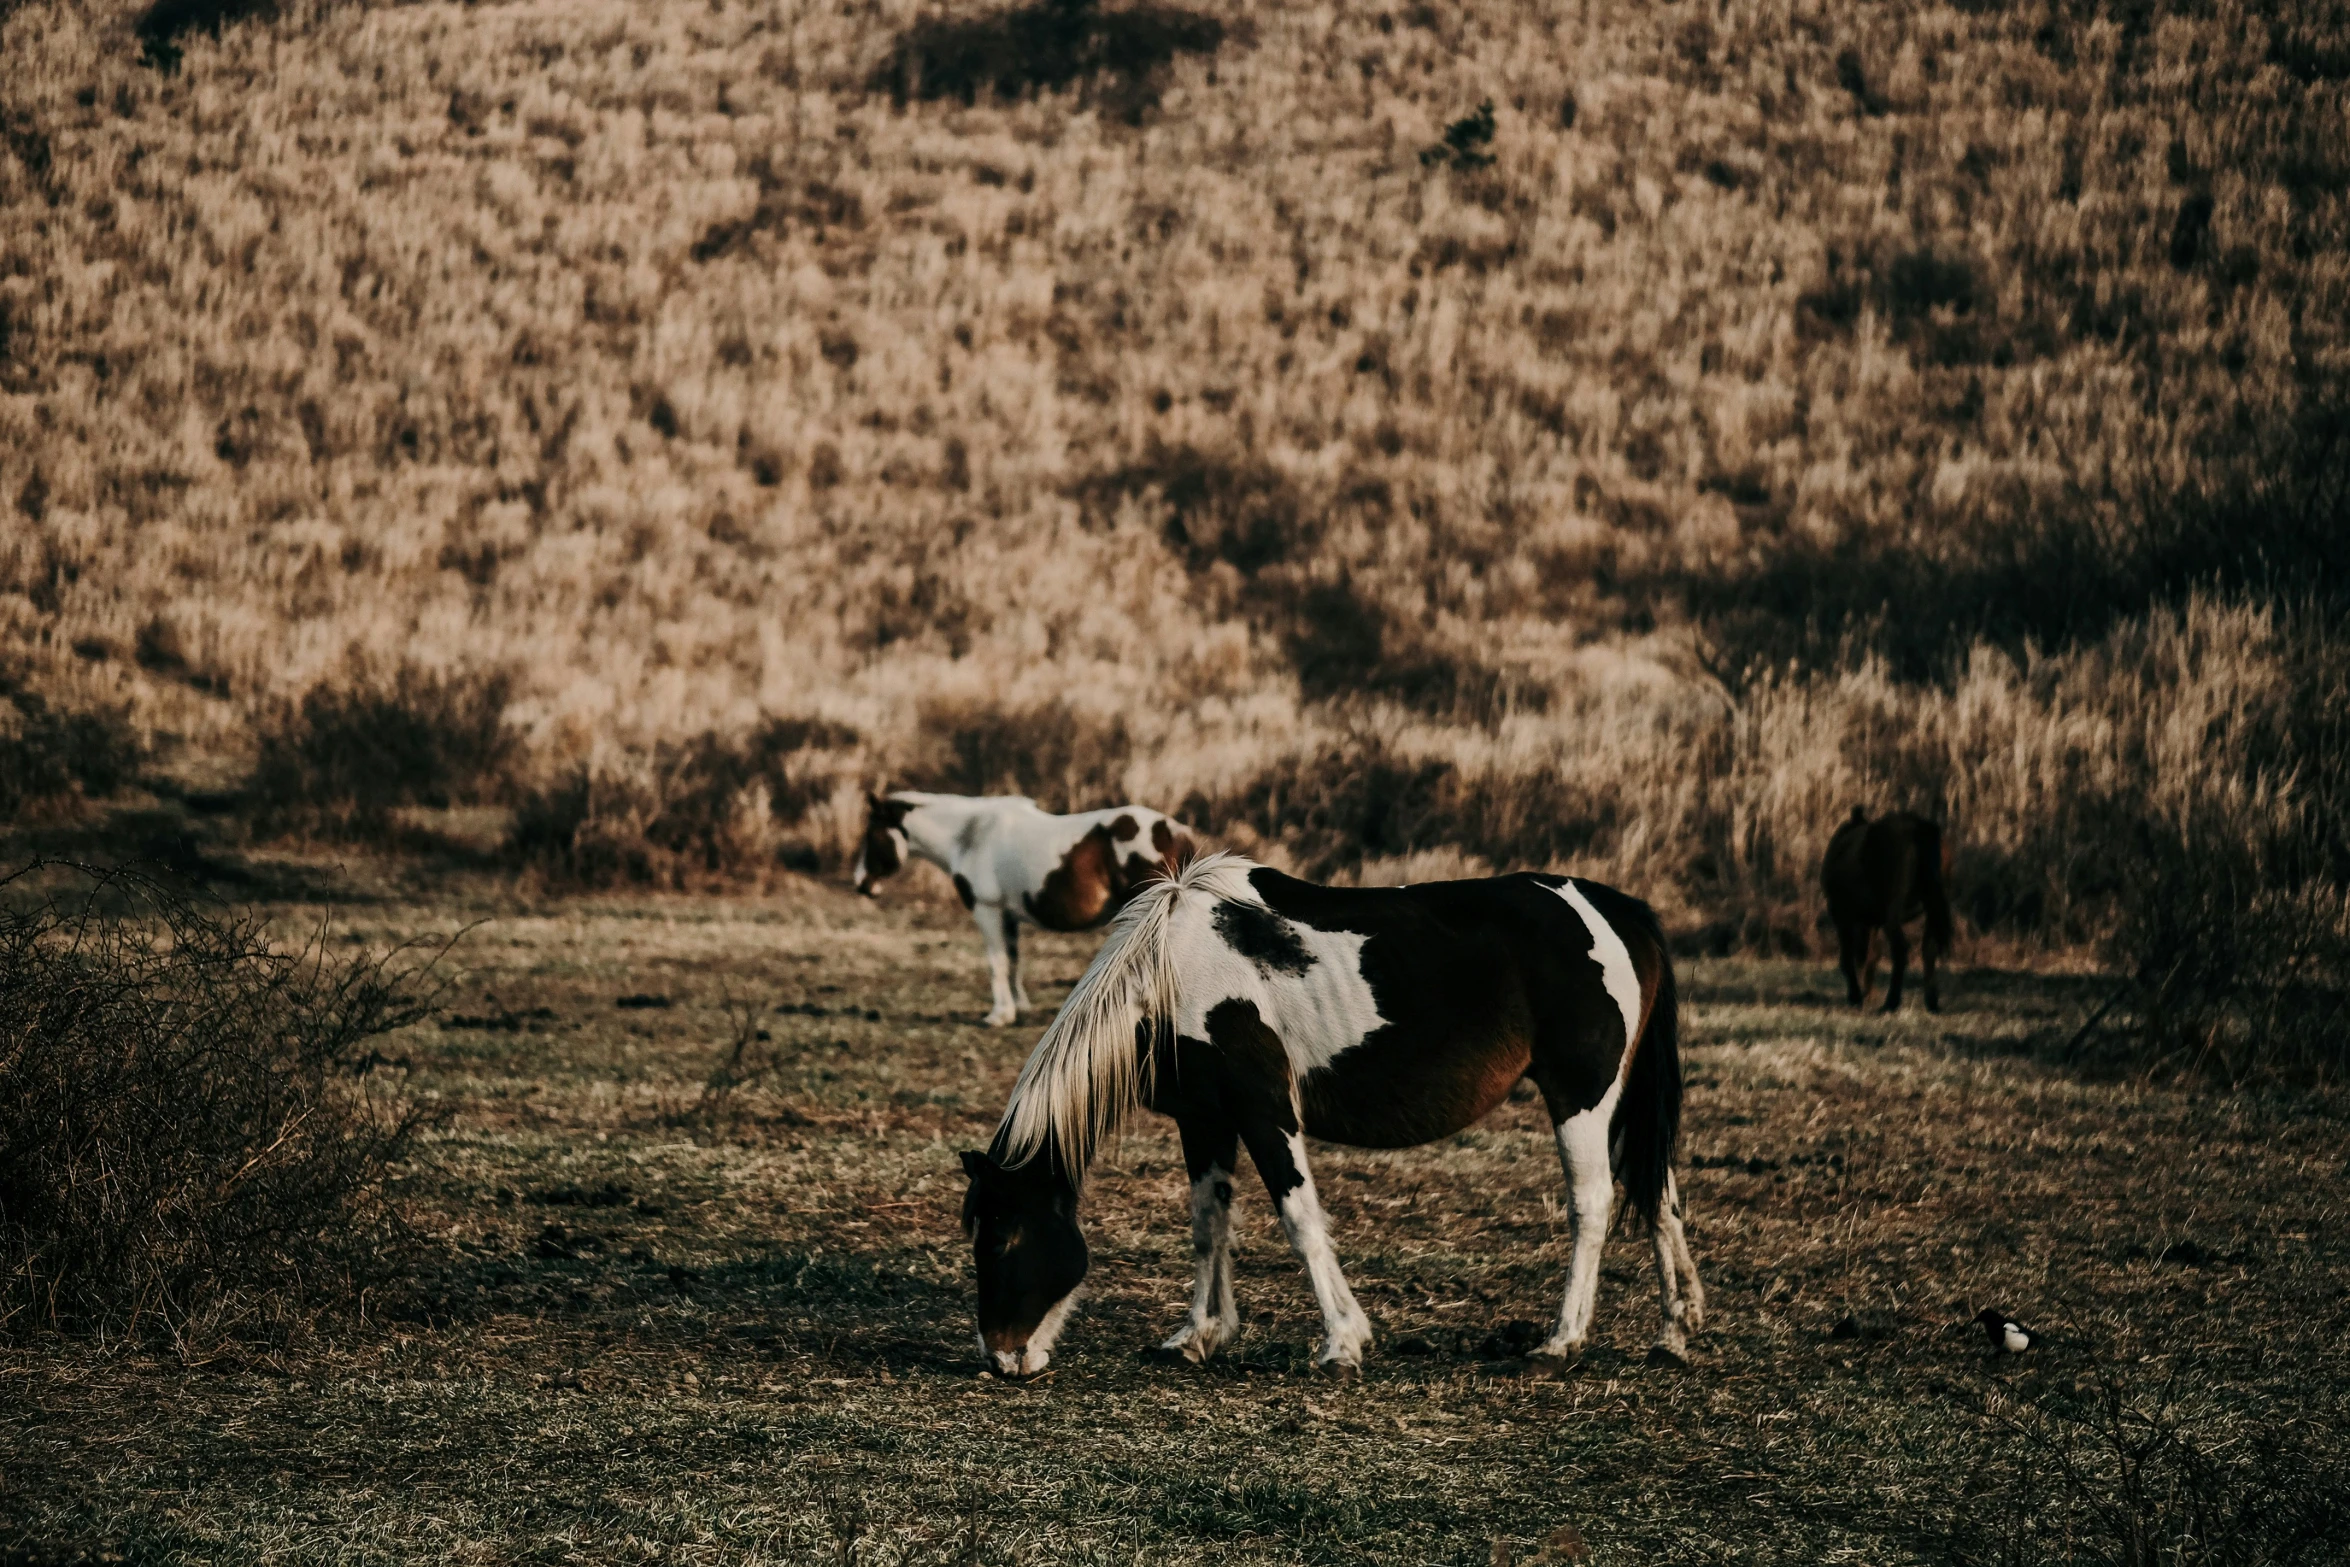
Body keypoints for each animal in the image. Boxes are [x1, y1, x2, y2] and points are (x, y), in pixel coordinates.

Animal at [855, 798, 1193, 1029]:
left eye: (872, 835)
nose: (861, 884)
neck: (970, 834)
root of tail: (1175, 830)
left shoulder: (987, 910)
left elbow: (997, 963)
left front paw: (998, 1015)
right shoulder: (1008, 916)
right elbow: (1013, 961)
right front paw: (1019, 1007)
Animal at [958, 850, 1710, 1381]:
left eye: (999, 1240)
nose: (1001, 1358)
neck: (1168, 971)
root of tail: (1618, 911)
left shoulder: (1264, 1110)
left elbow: (1300, 1220)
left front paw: (1342, 1343)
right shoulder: (1204, 1119)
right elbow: (1208, 1224)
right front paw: (1198, 1335)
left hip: (1580, 1097)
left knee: (1593, 1204)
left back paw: (1561, 1341)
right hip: (1621, 1101)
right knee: (1659, 1195)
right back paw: (1674, 1334)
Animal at [1823, 808, 1955, 1019]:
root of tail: (1918, 828)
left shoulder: (1842, 915)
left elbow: (1849, 957)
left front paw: (1856, 996)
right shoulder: (1872, 921)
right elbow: (1871, 956)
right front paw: (1866, 993)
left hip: (1891, 913)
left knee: (1900, 950)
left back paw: (1890, 1003)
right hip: (1930, 910)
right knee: (1929, 948)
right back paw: (1931, 1002)